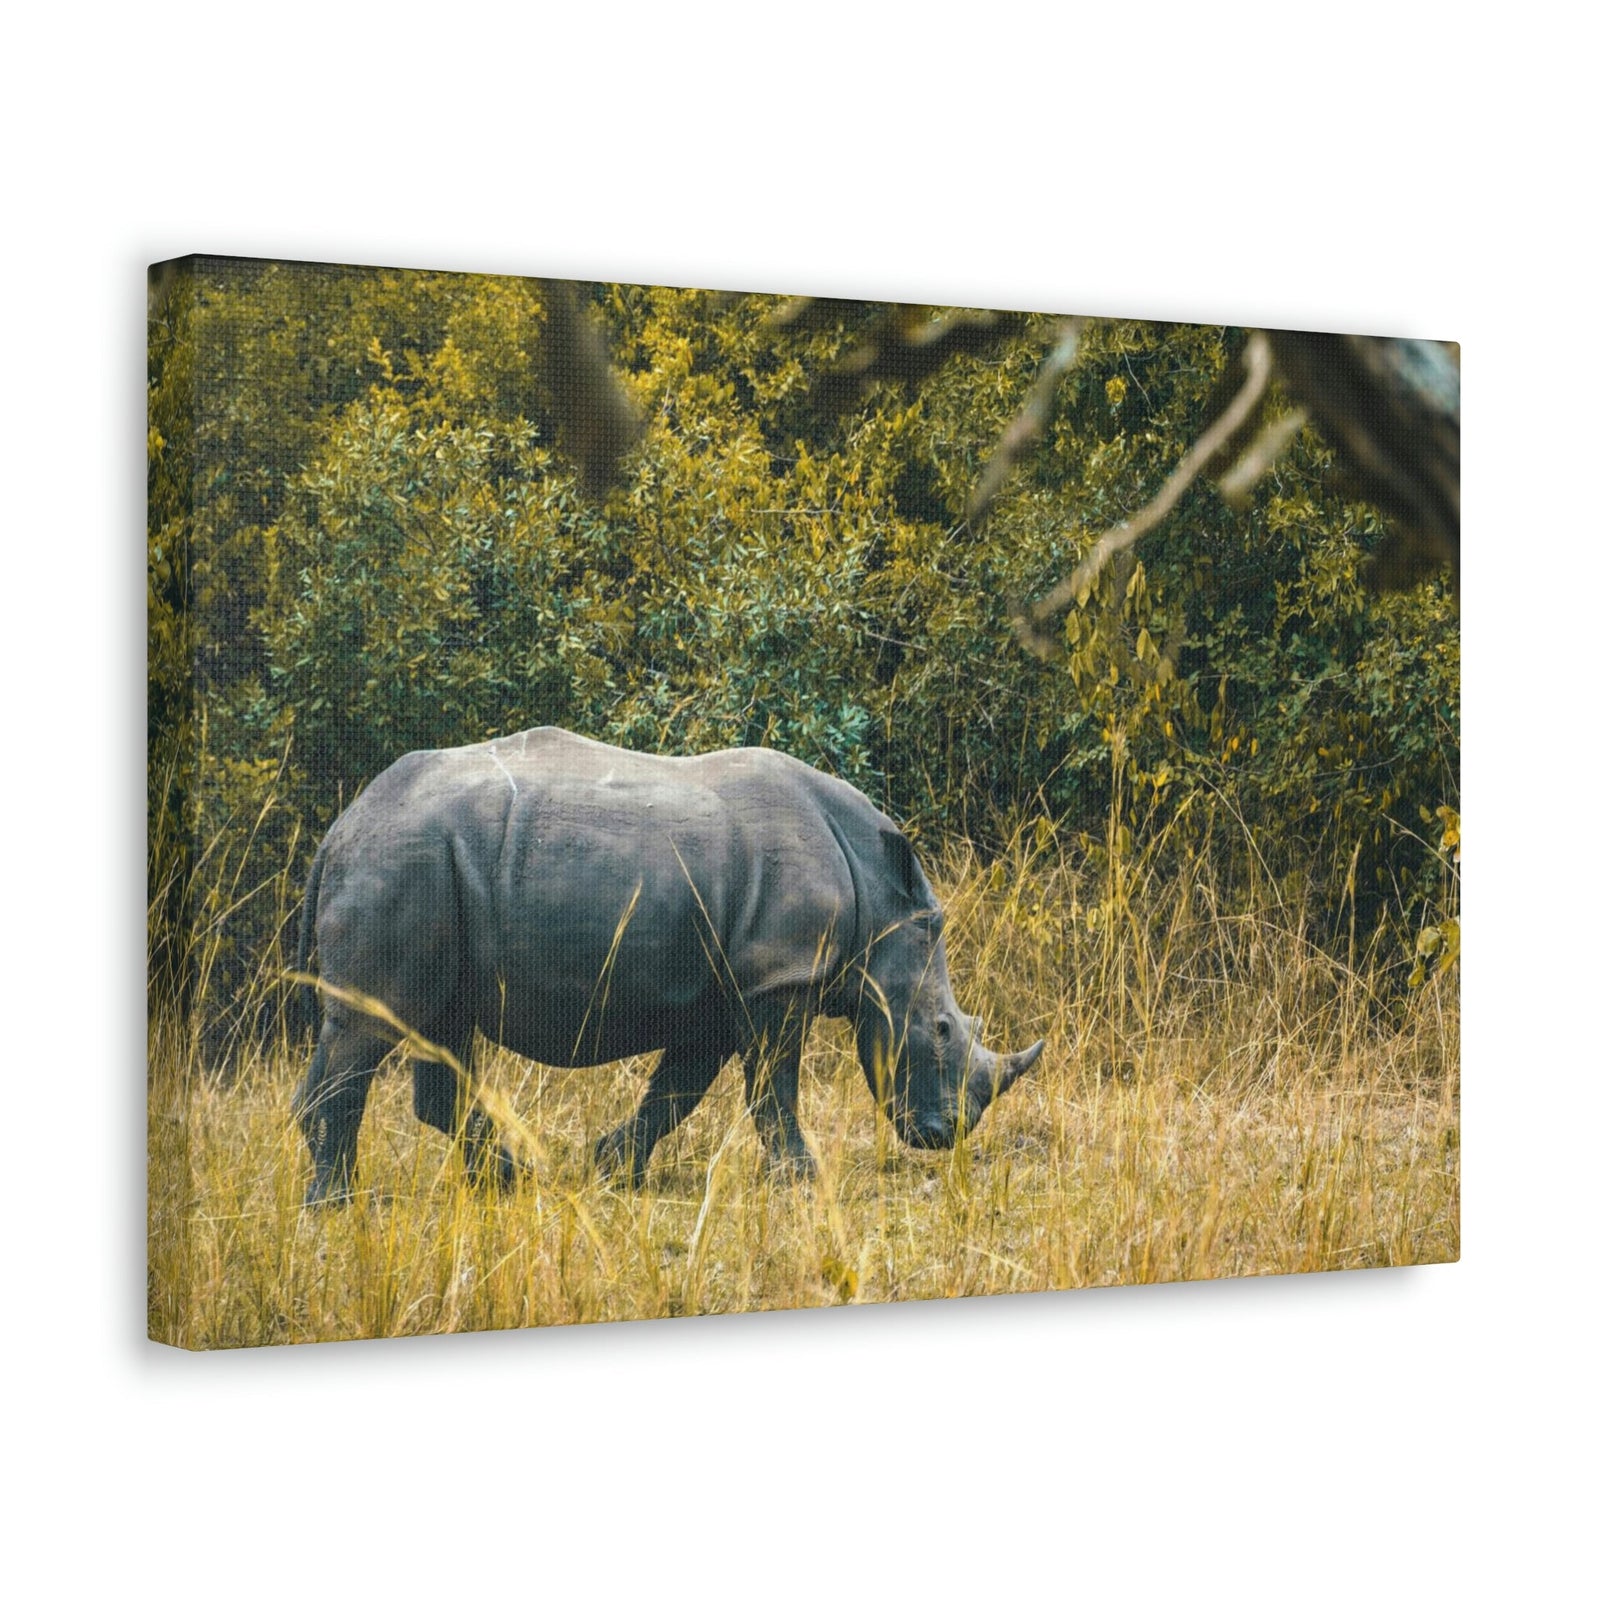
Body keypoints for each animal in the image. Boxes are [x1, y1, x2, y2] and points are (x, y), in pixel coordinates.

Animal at [292, 727, 1043, 1203]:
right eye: (941, 1030)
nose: (943, 1138)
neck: (879, 899)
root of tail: (341, 828)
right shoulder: (778, 977)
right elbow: (772, 1086)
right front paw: (803, 1180)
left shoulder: (725, 987)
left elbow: (679, 1089)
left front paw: (609, 1168)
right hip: (402, 860)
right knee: (371, 1030)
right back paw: (337, 1205)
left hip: (426, 868)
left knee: (437, 1030)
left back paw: (511, 1180)